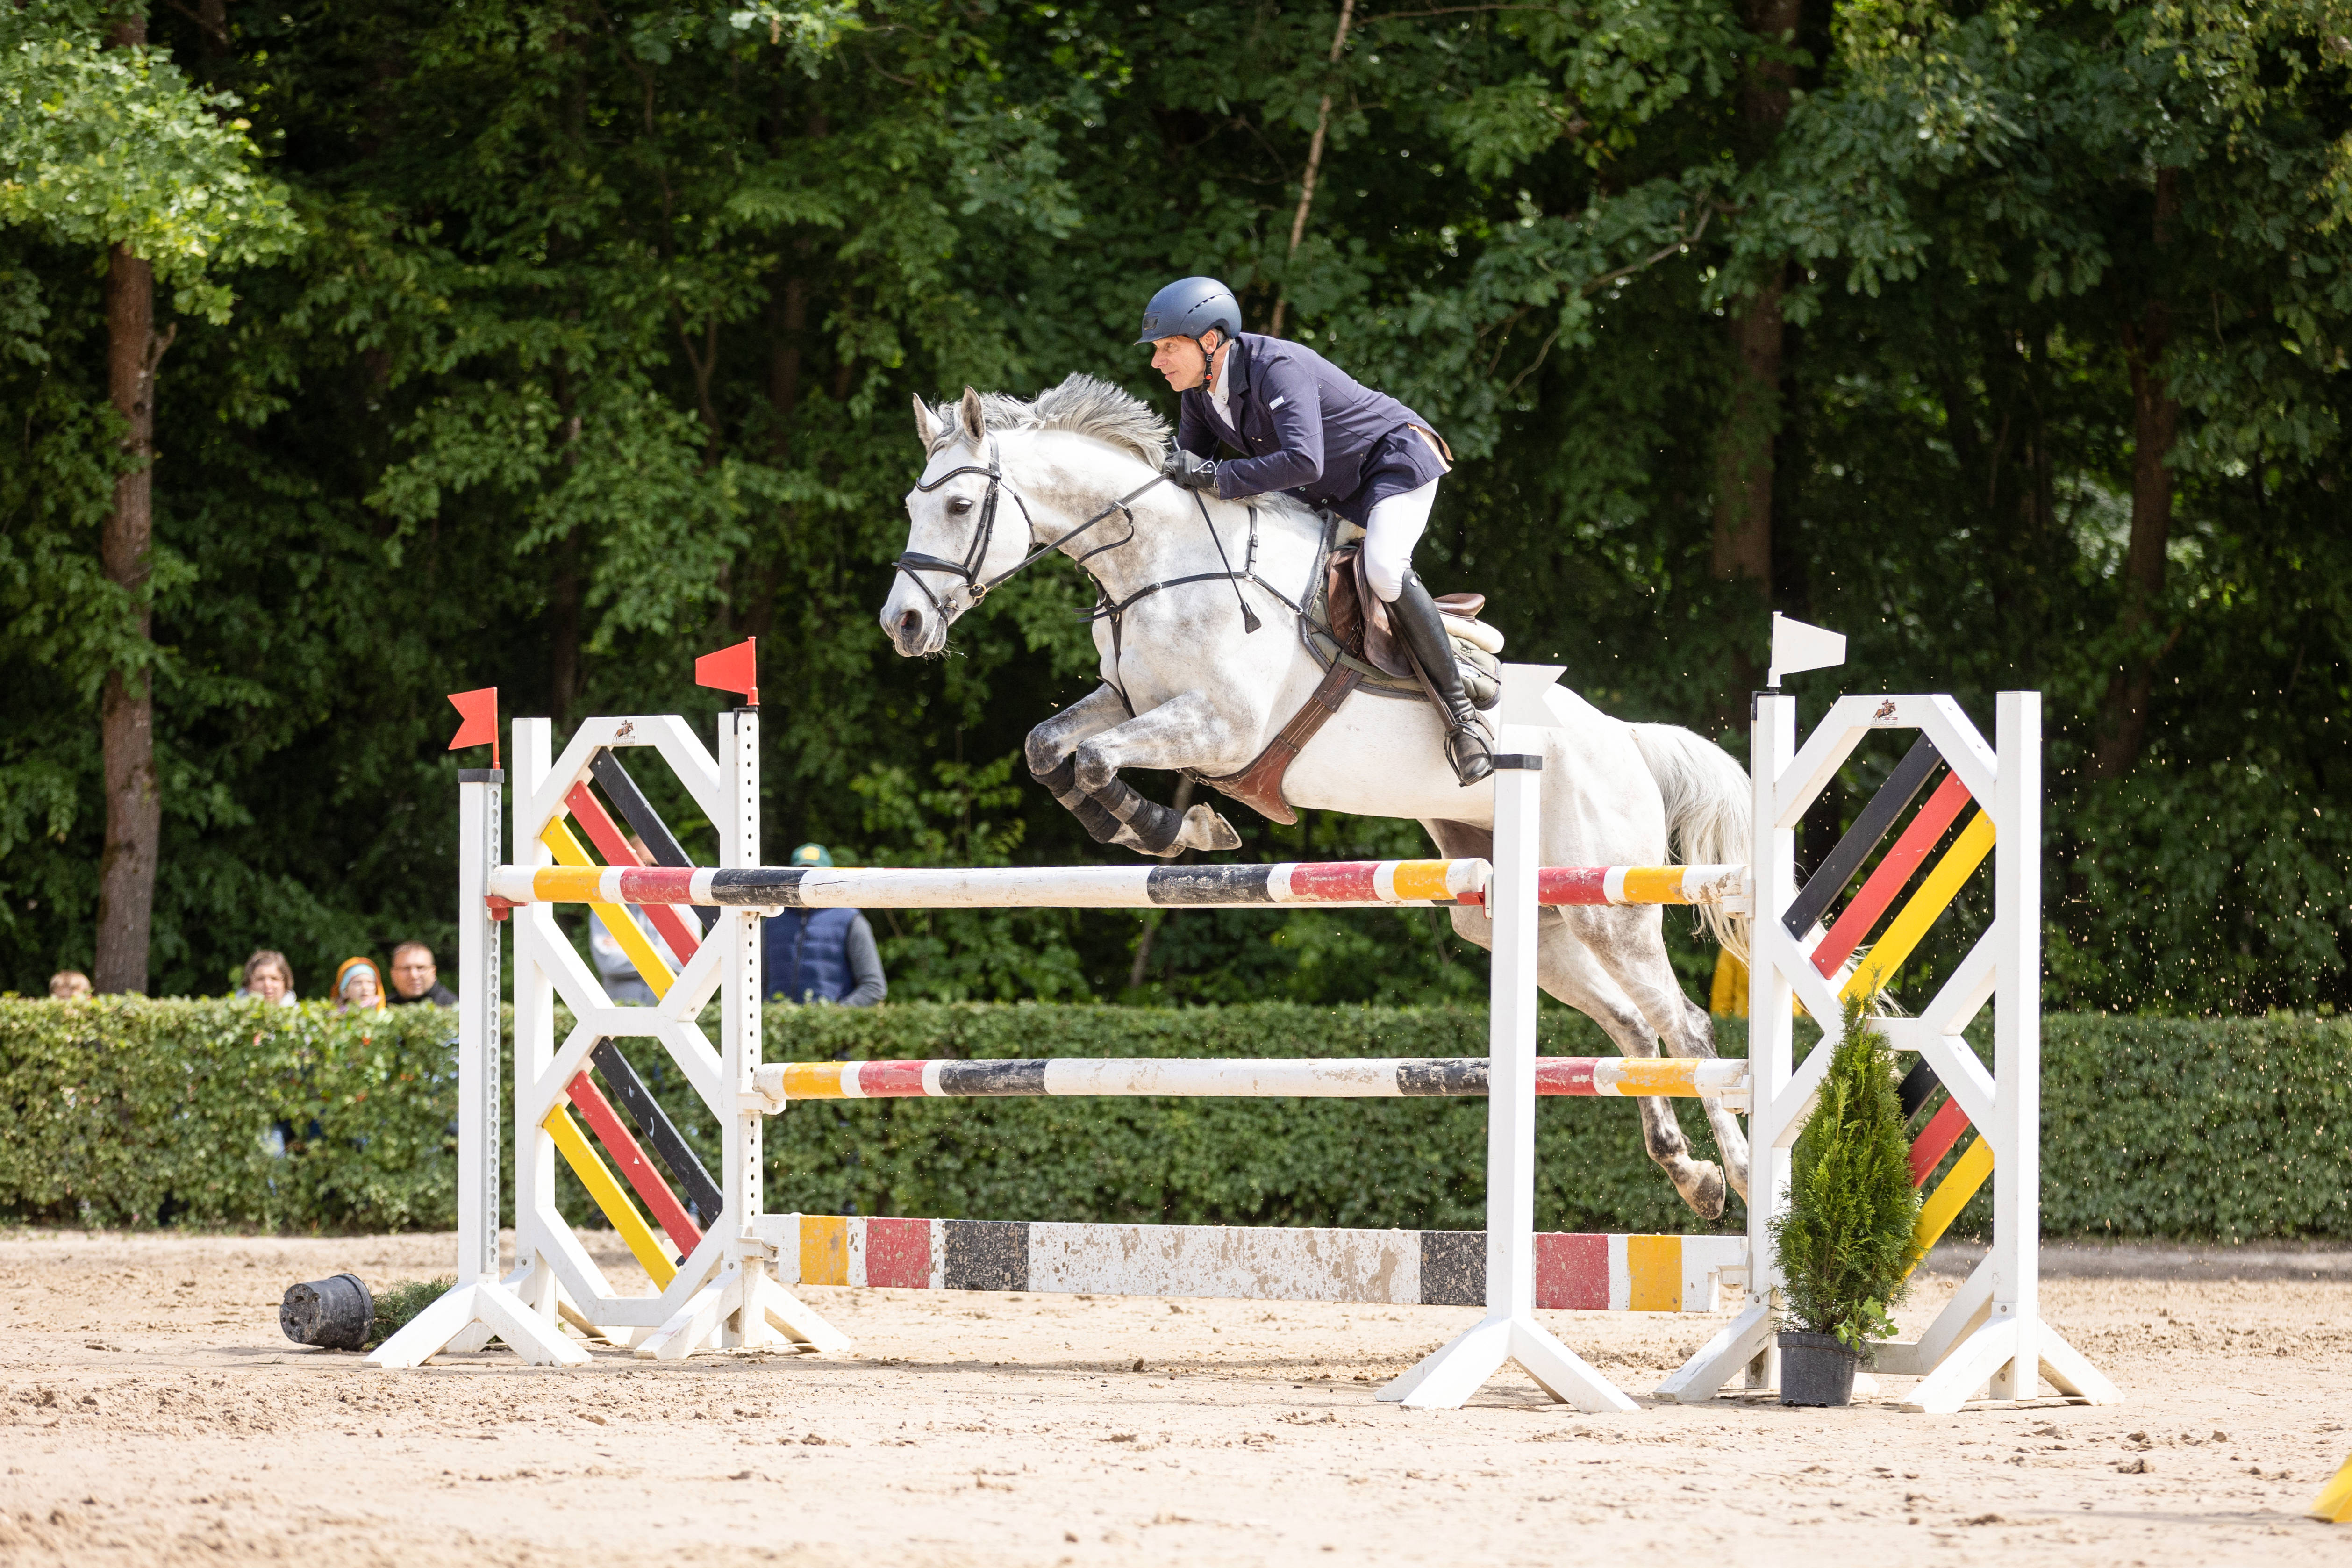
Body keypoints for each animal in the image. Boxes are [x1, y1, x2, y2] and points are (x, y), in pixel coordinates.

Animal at [878, 374, 1754, 1218]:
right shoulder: (1128, 701)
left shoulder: (1220, 730)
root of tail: (1625, 738)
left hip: (1611, 907)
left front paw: (1179, 827)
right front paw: (1168, 830)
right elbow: (1050, 749)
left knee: (1685, 1028)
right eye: (912, 506)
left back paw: (1742, 1177)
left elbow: (1093, 760)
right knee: (1633, 1026)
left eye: (959, 506)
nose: (904, 624)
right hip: (1523, 915)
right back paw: (1691, 1176)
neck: (1160, 561)